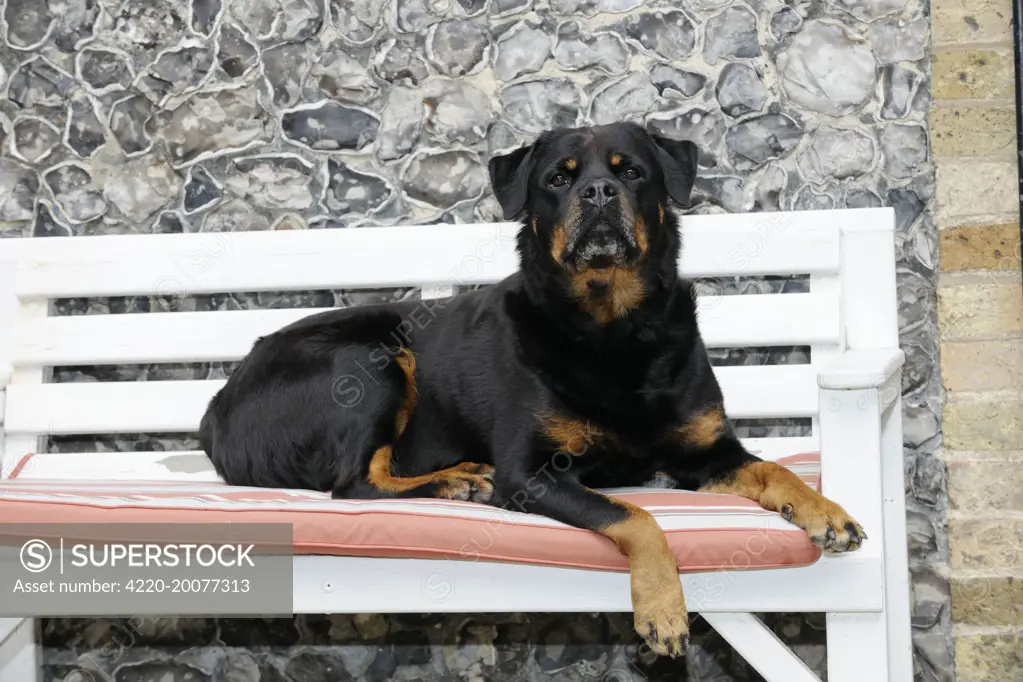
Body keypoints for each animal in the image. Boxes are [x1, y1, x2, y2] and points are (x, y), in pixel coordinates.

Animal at [203, 121, 867, 654]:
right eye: (557, 179)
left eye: (632, 172)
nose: (597, 192)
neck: (613, 328)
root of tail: (214, 411)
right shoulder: (531, 474)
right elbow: (635, 516)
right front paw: (663, 606)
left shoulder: (707, 452)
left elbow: (773, 471)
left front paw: (826, 511)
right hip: (371, 361)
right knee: (355, 482)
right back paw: (456, 480)